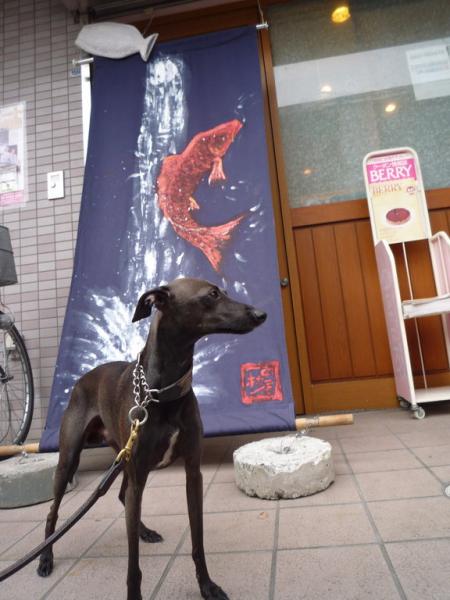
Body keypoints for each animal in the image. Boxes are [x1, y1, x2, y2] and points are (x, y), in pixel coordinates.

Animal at [37, 277, 266, 599]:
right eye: (212, 294)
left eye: (223, 291)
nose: (261, 314)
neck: (161, 393)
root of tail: (82, 379)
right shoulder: (138, 474)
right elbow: (133, 566)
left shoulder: (192, 473)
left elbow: (198, 540)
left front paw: (207, 585)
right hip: (71, 458)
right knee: (53, 512)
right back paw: (45, 558)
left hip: (123, 458)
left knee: (122, 495)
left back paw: (144, 531)